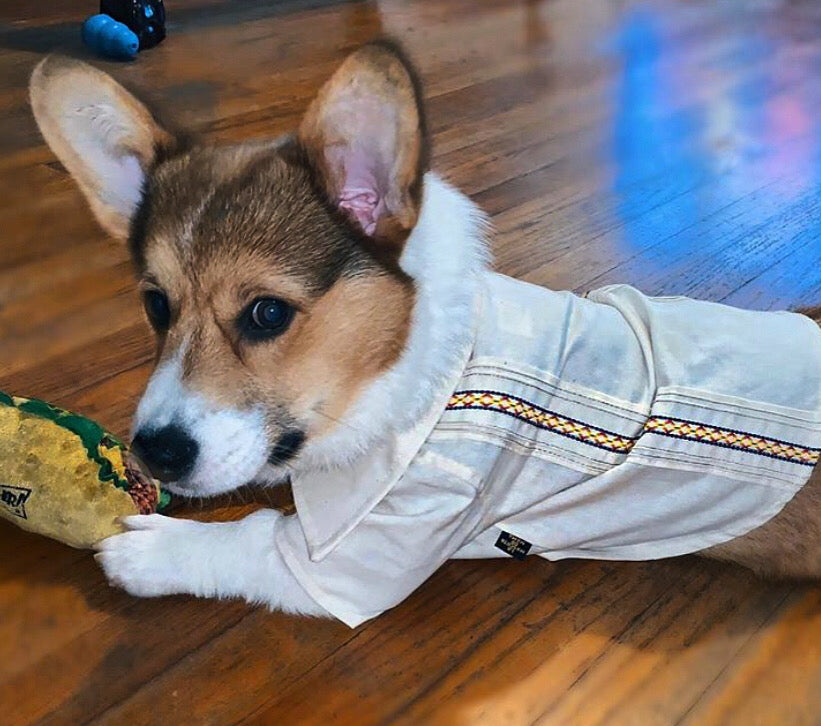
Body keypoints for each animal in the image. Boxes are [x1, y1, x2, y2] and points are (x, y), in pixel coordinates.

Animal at [30, 42, 820, 628]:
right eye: (156, 305)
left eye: (266, 314)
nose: (154, 452)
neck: (409, 366)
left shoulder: (361, 552)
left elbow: (249, 540)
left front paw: (154, 550)